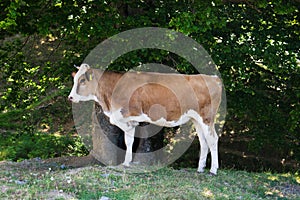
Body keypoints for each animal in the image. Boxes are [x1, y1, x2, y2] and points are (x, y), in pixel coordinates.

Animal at [68, 63, 223, 174]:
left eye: (82, 80)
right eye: (75, 79)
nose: (70, 97)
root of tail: (213, 78)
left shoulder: (125, 114)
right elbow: (129, 140)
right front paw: (127, 162)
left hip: (207, 118)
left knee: (212, 139)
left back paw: (213, 170)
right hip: (196, 119)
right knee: (203, 141)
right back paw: (200, 168)